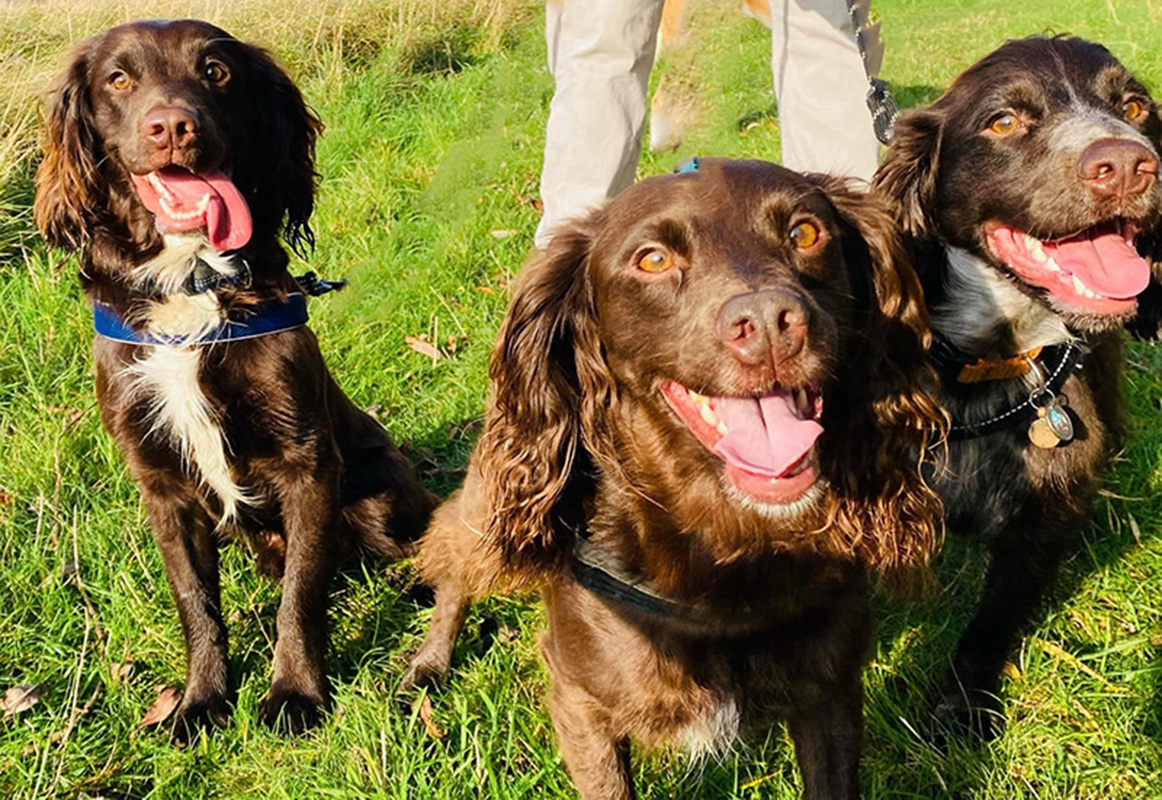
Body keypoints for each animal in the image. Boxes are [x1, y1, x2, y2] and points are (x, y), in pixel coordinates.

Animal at [37, 18, 436, 739]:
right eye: (119, 78)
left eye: (217, 72)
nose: (173, 126)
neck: (191, 281)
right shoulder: (162, 484)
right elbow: (196, 601)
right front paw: (201, 700)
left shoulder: (308, 463)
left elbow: (301, 597)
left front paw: (295, 693)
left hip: (380, 495)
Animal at [404, 159, 938, 795]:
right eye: (653, 259)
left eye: (806, 233)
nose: (769, 325)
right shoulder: (580, 704)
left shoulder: (829, 688)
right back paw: (429, 660)